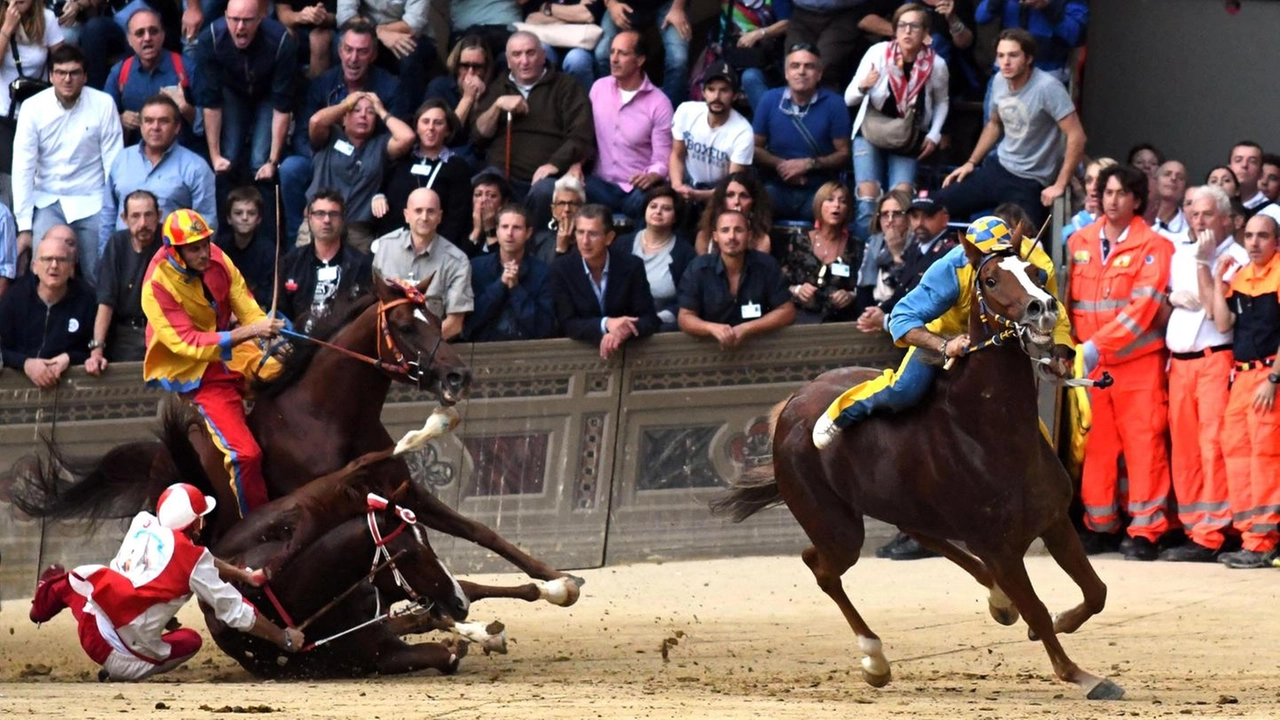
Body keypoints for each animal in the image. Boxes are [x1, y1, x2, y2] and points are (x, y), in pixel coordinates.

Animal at [716, 238, 1126, 696]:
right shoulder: (998, 546)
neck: (991, 431)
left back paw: (998, 602)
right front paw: (1081, 675)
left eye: (1036, 273)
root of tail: (791, 405)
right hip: (834, 525)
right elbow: (1036, 606)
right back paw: (875, 658)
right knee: (819, 566)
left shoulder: (1052, 520)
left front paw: (1058, 621)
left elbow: (1096, 591)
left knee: (915, 535)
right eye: (990, 279)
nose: (1043, 307)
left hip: (900, 506)